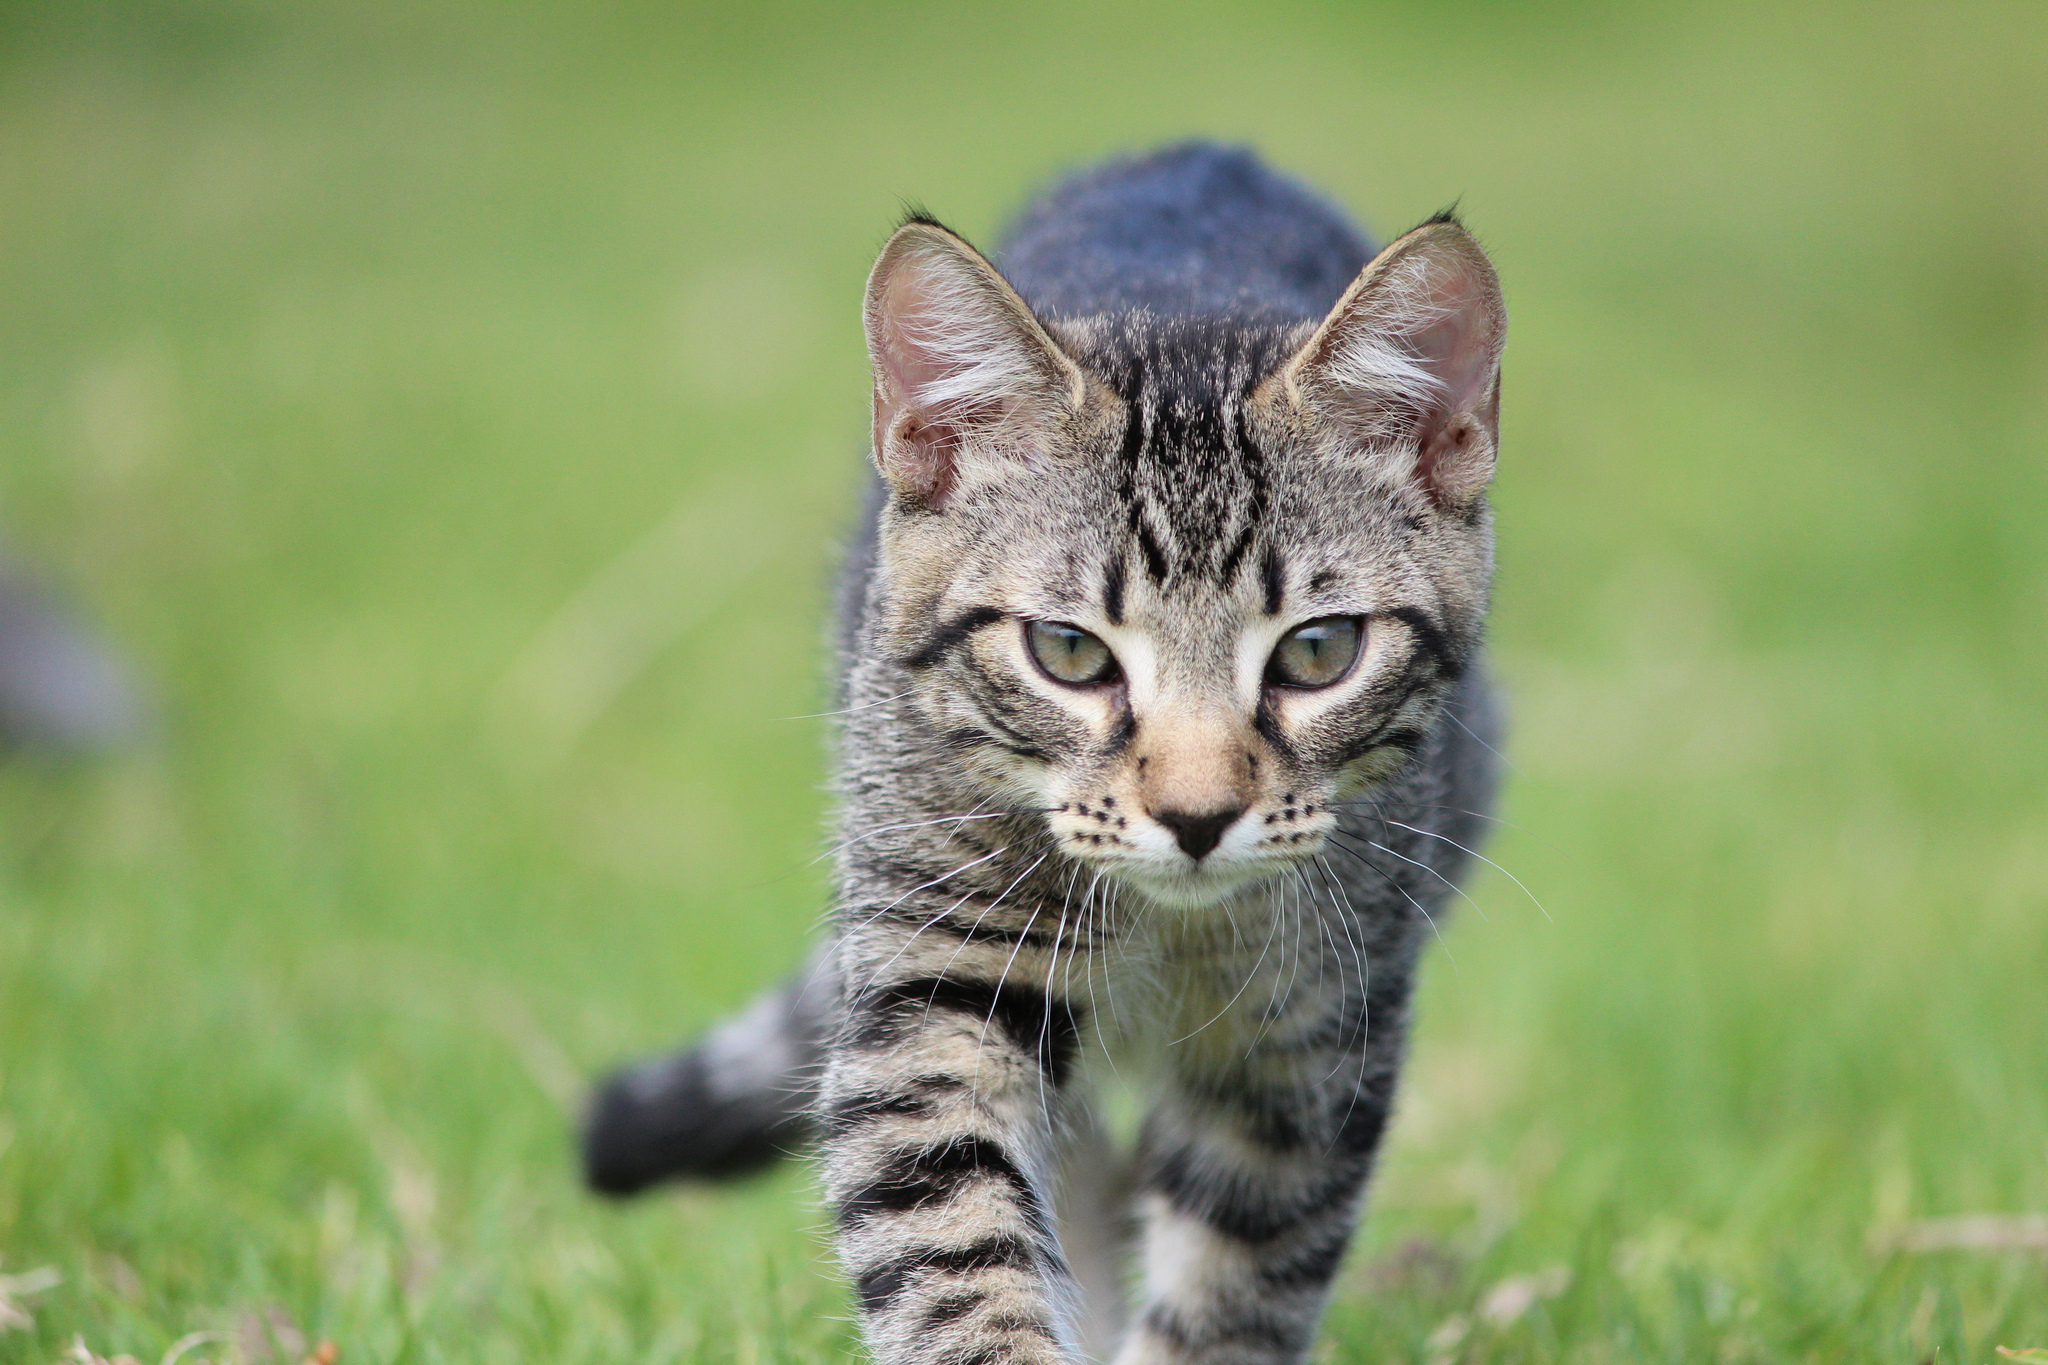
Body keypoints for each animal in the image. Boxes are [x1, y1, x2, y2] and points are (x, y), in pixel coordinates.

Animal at [585, 141, 1515, 1365]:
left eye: (1317, 652)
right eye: (1068, 652)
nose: (1197, 815)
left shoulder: (1312, 1033)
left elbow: (1232, 1282)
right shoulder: (934, 968)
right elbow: (954, 1243)